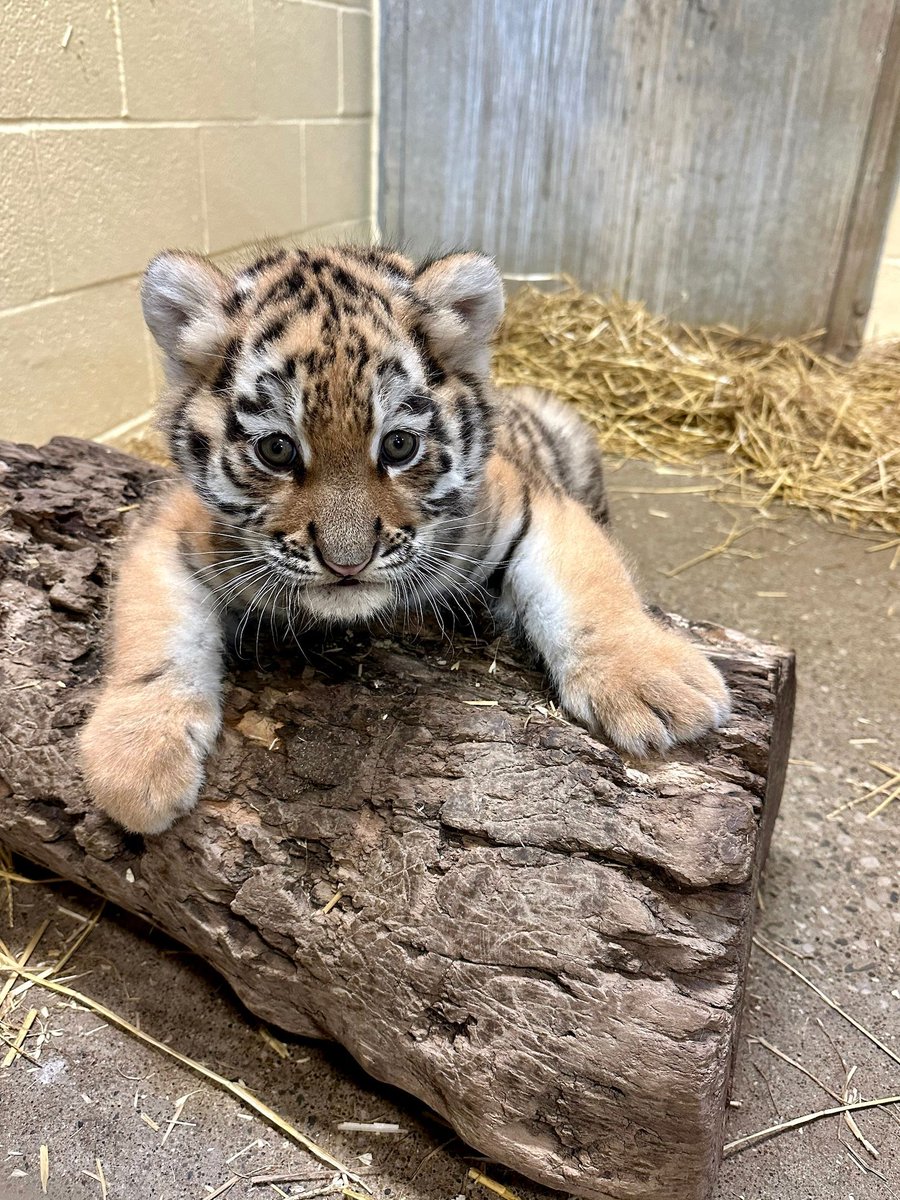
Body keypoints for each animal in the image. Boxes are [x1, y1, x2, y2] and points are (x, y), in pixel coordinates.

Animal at [80, 243, 731, 834]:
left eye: (398, 445)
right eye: (277, 450)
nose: (347, 563)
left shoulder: (531, 504)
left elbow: (591, 584)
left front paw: (657, 685)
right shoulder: (169, 528)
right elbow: (152, 633)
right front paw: (134, 763)